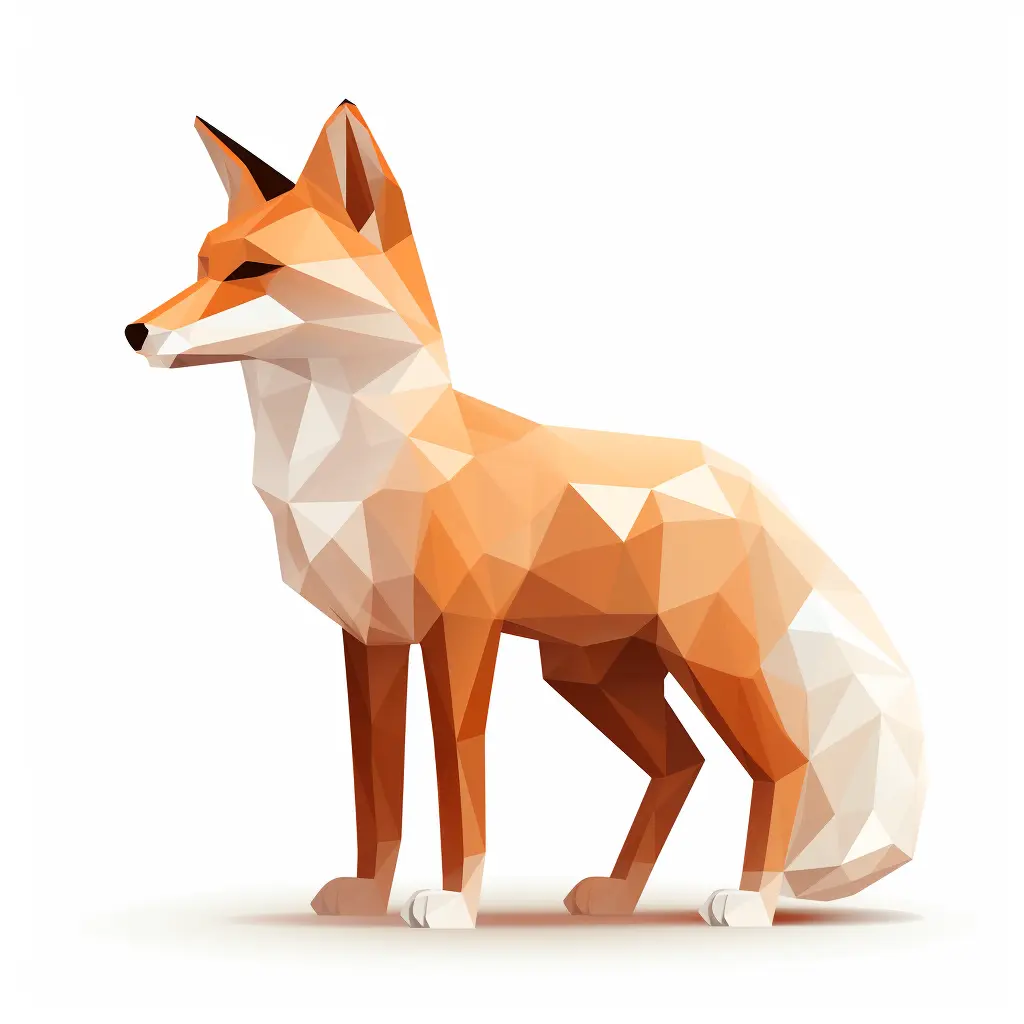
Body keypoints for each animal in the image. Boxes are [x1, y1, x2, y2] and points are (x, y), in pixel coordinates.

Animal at [126, 101, 925, 928]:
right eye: (200, 265)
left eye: (254, 271)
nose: (135, 331)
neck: (353, 461)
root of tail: (743, 479)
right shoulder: (370, 639)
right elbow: (377, 797)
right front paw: (369, 894)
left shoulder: (461, 632)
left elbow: (458, 785)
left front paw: (454, 901)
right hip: (592, 678)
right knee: (684, 764)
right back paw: (619, 894)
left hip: (713, 668)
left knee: (783, 765)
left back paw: (752, 900)